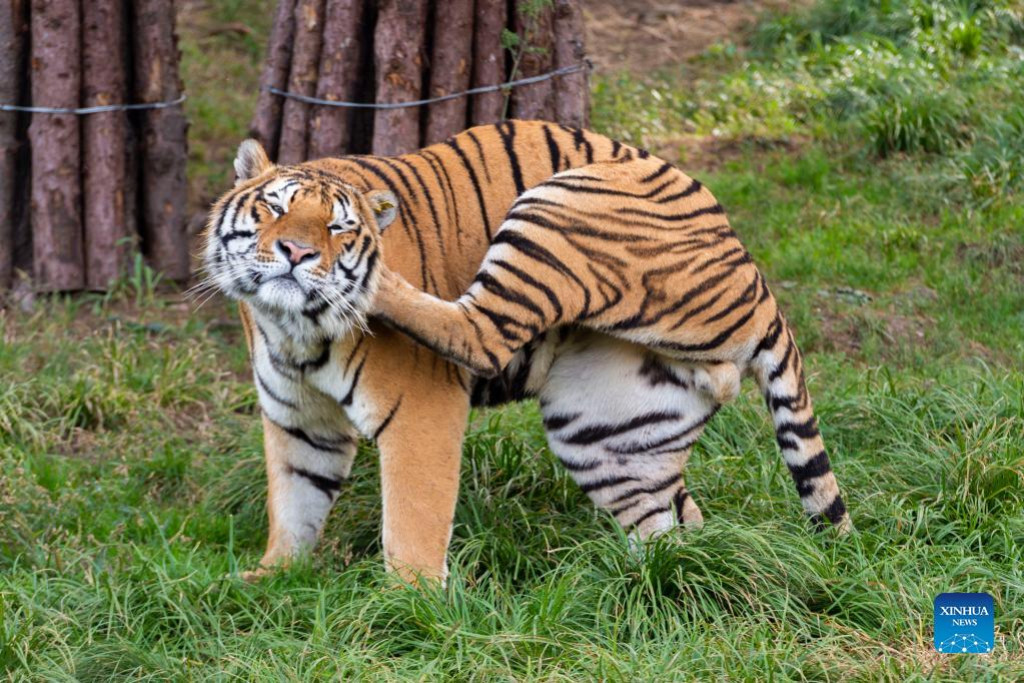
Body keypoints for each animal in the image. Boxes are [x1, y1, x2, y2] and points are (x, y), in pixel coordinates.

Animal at [205, 120, 847, 585]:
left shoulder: (420, 412)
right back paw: (645, 581)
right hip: (604, 431)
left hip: (561, 209)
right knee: (672, 522)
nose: (297, 253)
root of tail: (753, 275)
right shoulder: (298, 421)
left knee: (481, 332)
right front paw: (264, 583)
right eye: (276, 208)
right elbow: (293, 506)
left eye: (339, 228)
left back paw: (376, 285)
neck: (291, 327)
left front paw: (408, 607)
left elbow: (412, 521)